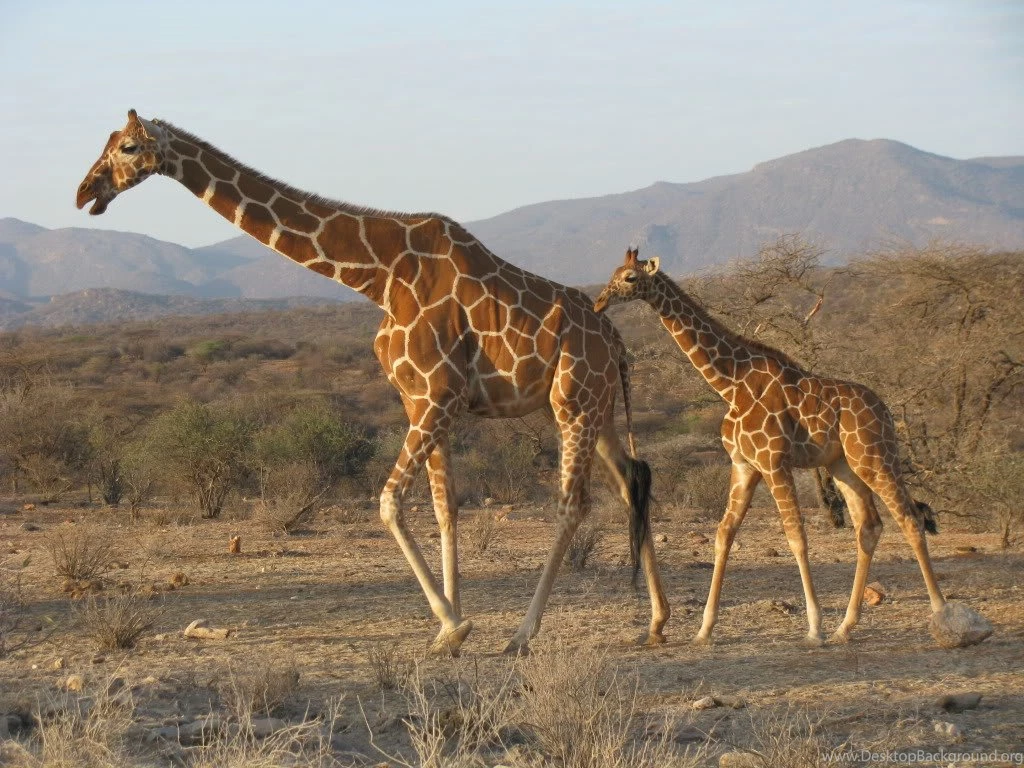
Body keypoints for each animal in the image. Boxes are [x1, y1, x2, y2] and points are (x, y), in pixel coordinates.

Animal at [75, 110, 670, 656]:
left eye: (127, 147)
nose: (84, 194)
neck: (377, 275)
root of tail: (615, 339)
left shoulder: (437, 395)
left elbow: (388, 502)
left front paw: (454, 624)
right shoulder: (420, 399)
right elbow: (444, 508)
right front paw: (449, 629)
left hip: (575, 400)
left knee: (575, 503)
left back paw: (524, 634)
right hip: (588, 404)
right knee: (631, 481)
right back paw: (658, 621)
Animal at [594, 248, 948, 646]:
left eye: (630, 278)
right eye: (614, 272)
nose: (599, 302)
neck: (731, 385)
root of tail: (884, 409)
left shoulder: (774, 462)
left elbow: (796, 536)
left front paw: (813, 627)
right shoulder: (744, 465)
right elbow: (723, 534)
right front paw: (704, 629)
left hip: (875, 457)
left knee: (910, 519)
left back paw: (941, 613)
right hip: (844, 465)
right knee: (869, 527)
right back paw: (845, 627)